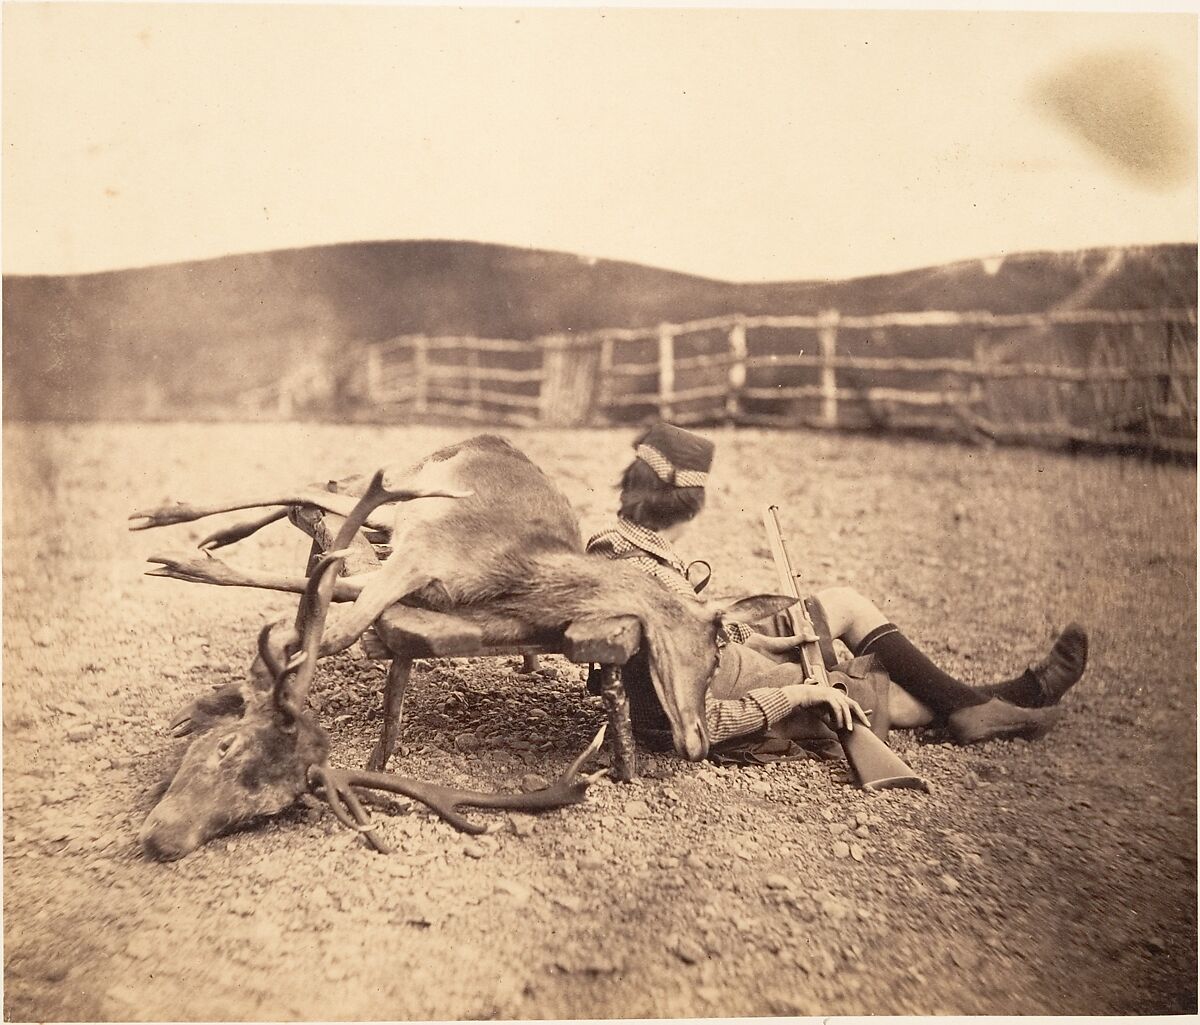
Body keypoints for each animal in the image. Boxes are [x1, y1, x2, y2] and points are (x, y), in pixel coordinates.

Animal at [133, 434, 787, 859]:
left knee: (325, 497)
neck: (516, 575)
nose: (698, 743)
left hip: (396, 510)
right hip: (410, 486)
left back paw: (208, 539)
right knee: (322, 486)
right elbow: (335, 629)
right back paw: (162, 518)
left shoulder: (414, 576)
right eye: (714, 643)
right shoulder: (423, 551)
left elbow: (319, 604)